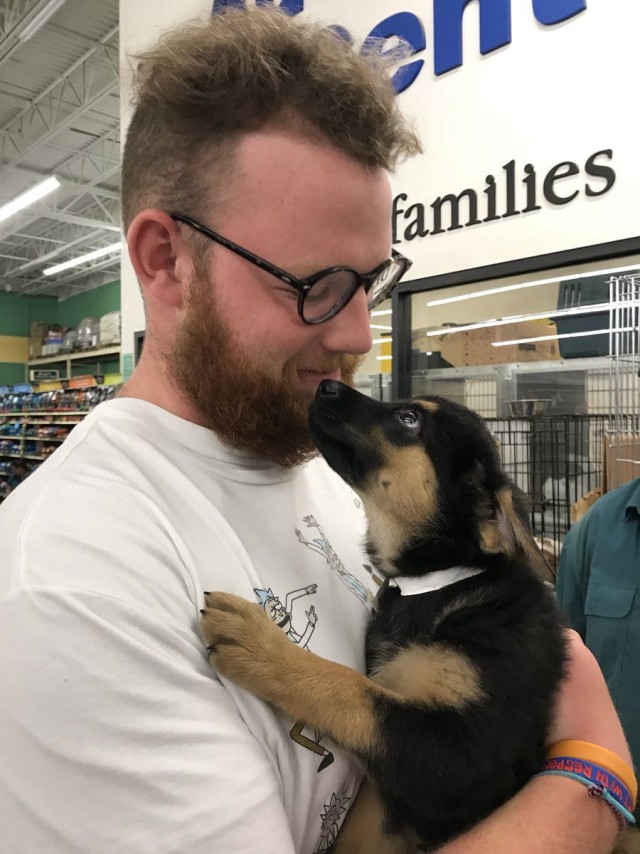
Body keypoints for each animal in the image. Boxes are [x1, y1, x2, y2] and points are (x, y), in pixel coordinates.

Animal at [202, 382, 568, 854]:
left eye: (409, 420)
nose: (325, 385)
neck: (437, 583)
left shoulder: (465, 755)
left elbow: (350, 688)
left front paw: (264, 647)